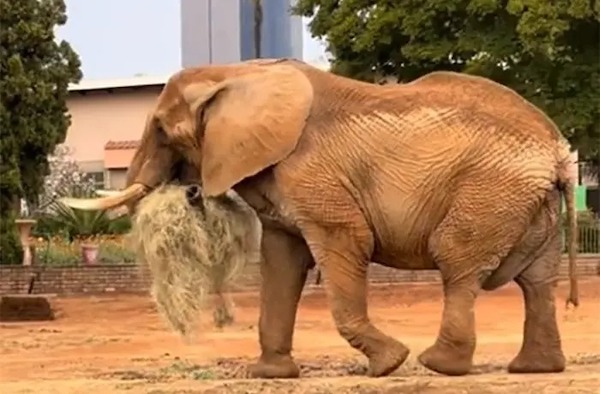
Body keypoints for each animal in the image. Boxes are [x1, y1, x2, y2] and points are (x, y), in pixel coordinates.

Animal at [62, 57, 580, 378]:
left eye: (161, 129)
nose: (188, 192)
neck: (235, 72)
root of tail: (558, 151)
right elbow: (281, 262)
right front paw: (268, 375)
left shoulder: (315, 175)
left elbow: (345, 242)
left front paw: (388, 365)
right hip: (526, 202)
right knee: (538, 281)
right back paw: (534, 369)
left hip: (488, 190)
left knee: (458, 263)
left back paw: (438, 364)